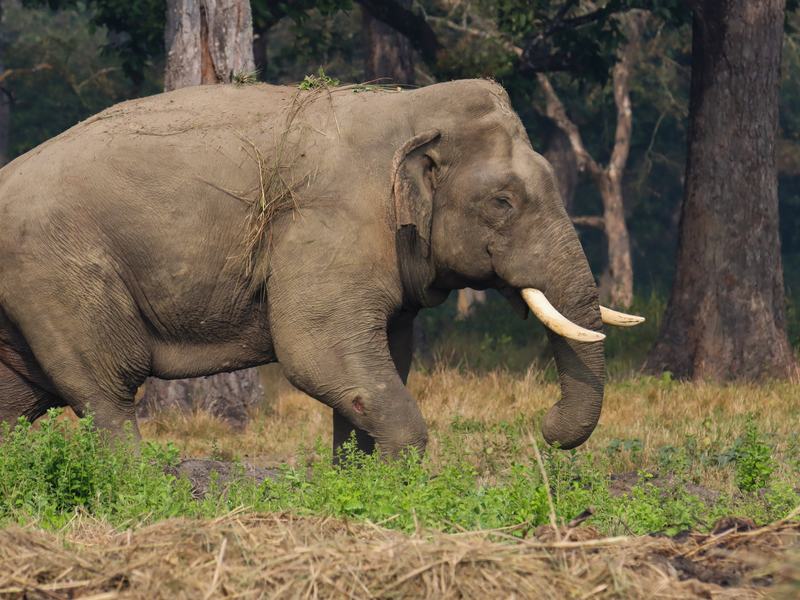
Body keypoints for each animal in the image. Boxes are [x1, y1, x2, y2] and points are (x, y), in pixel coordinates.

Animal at [0, 79, 643, 457]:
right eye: (503, 202)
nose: (545, 426)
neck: (406, 106)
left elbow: (384, 359)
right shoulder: (330, 226)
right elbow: (318, 354)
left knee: (17, 398)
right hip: (58, 274)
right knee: (106, 388)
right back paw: (149, 494)